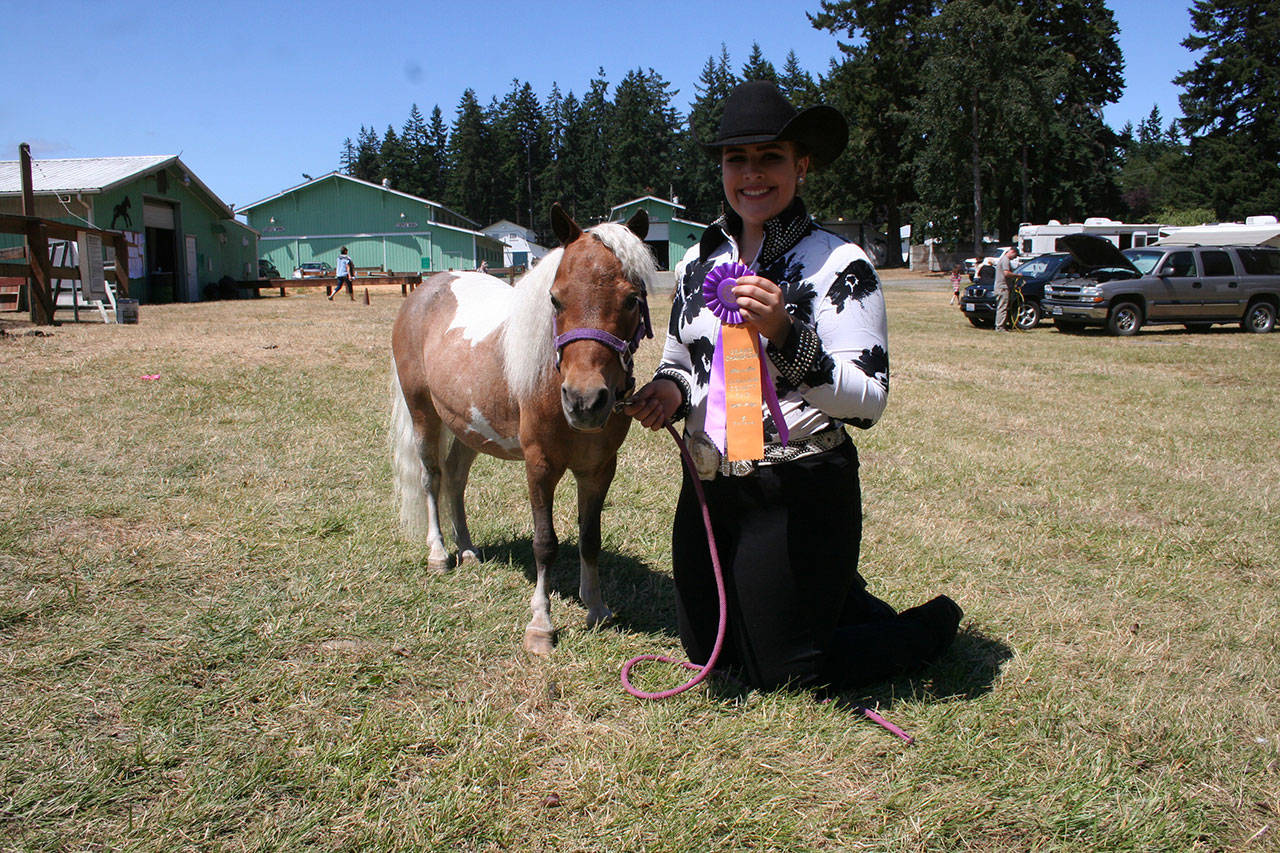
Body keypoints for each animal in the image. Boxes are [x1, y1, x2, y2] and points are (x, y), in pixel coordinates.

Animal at [389, 204, 656, 655]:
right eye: (555, 299)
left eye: (632, 300)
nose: (584, 401)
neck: (551, 376)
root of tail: (426, 289)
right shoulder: (540, 466)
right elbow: (544, 544)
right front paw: (541, 626)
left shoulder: (600, 469)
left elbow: (590, 538)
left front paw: (596, 608)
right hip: (423, 412)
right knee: (432, 478)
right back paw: (439, 554)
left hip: (469, 427)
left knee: (455, 479)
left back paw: (467, 549)